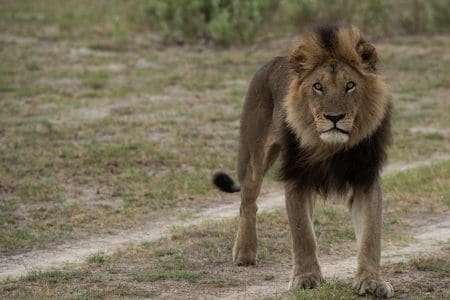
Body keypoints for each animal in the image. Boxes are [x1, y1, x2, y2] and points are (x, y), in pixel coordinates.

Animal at [213, 25, 392, 298]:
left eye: (350, 85)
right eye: (318, 86)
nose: (334, 117)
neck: (329, 146)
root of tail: (273, 60)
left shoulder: (366, 178)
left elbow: (370, 236)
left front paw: (371, 281)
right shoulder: (296, 178)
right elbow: (302, 233)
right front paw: (305, 278)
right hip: (253, 157)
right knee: (248, 202)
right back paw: (244, 252)